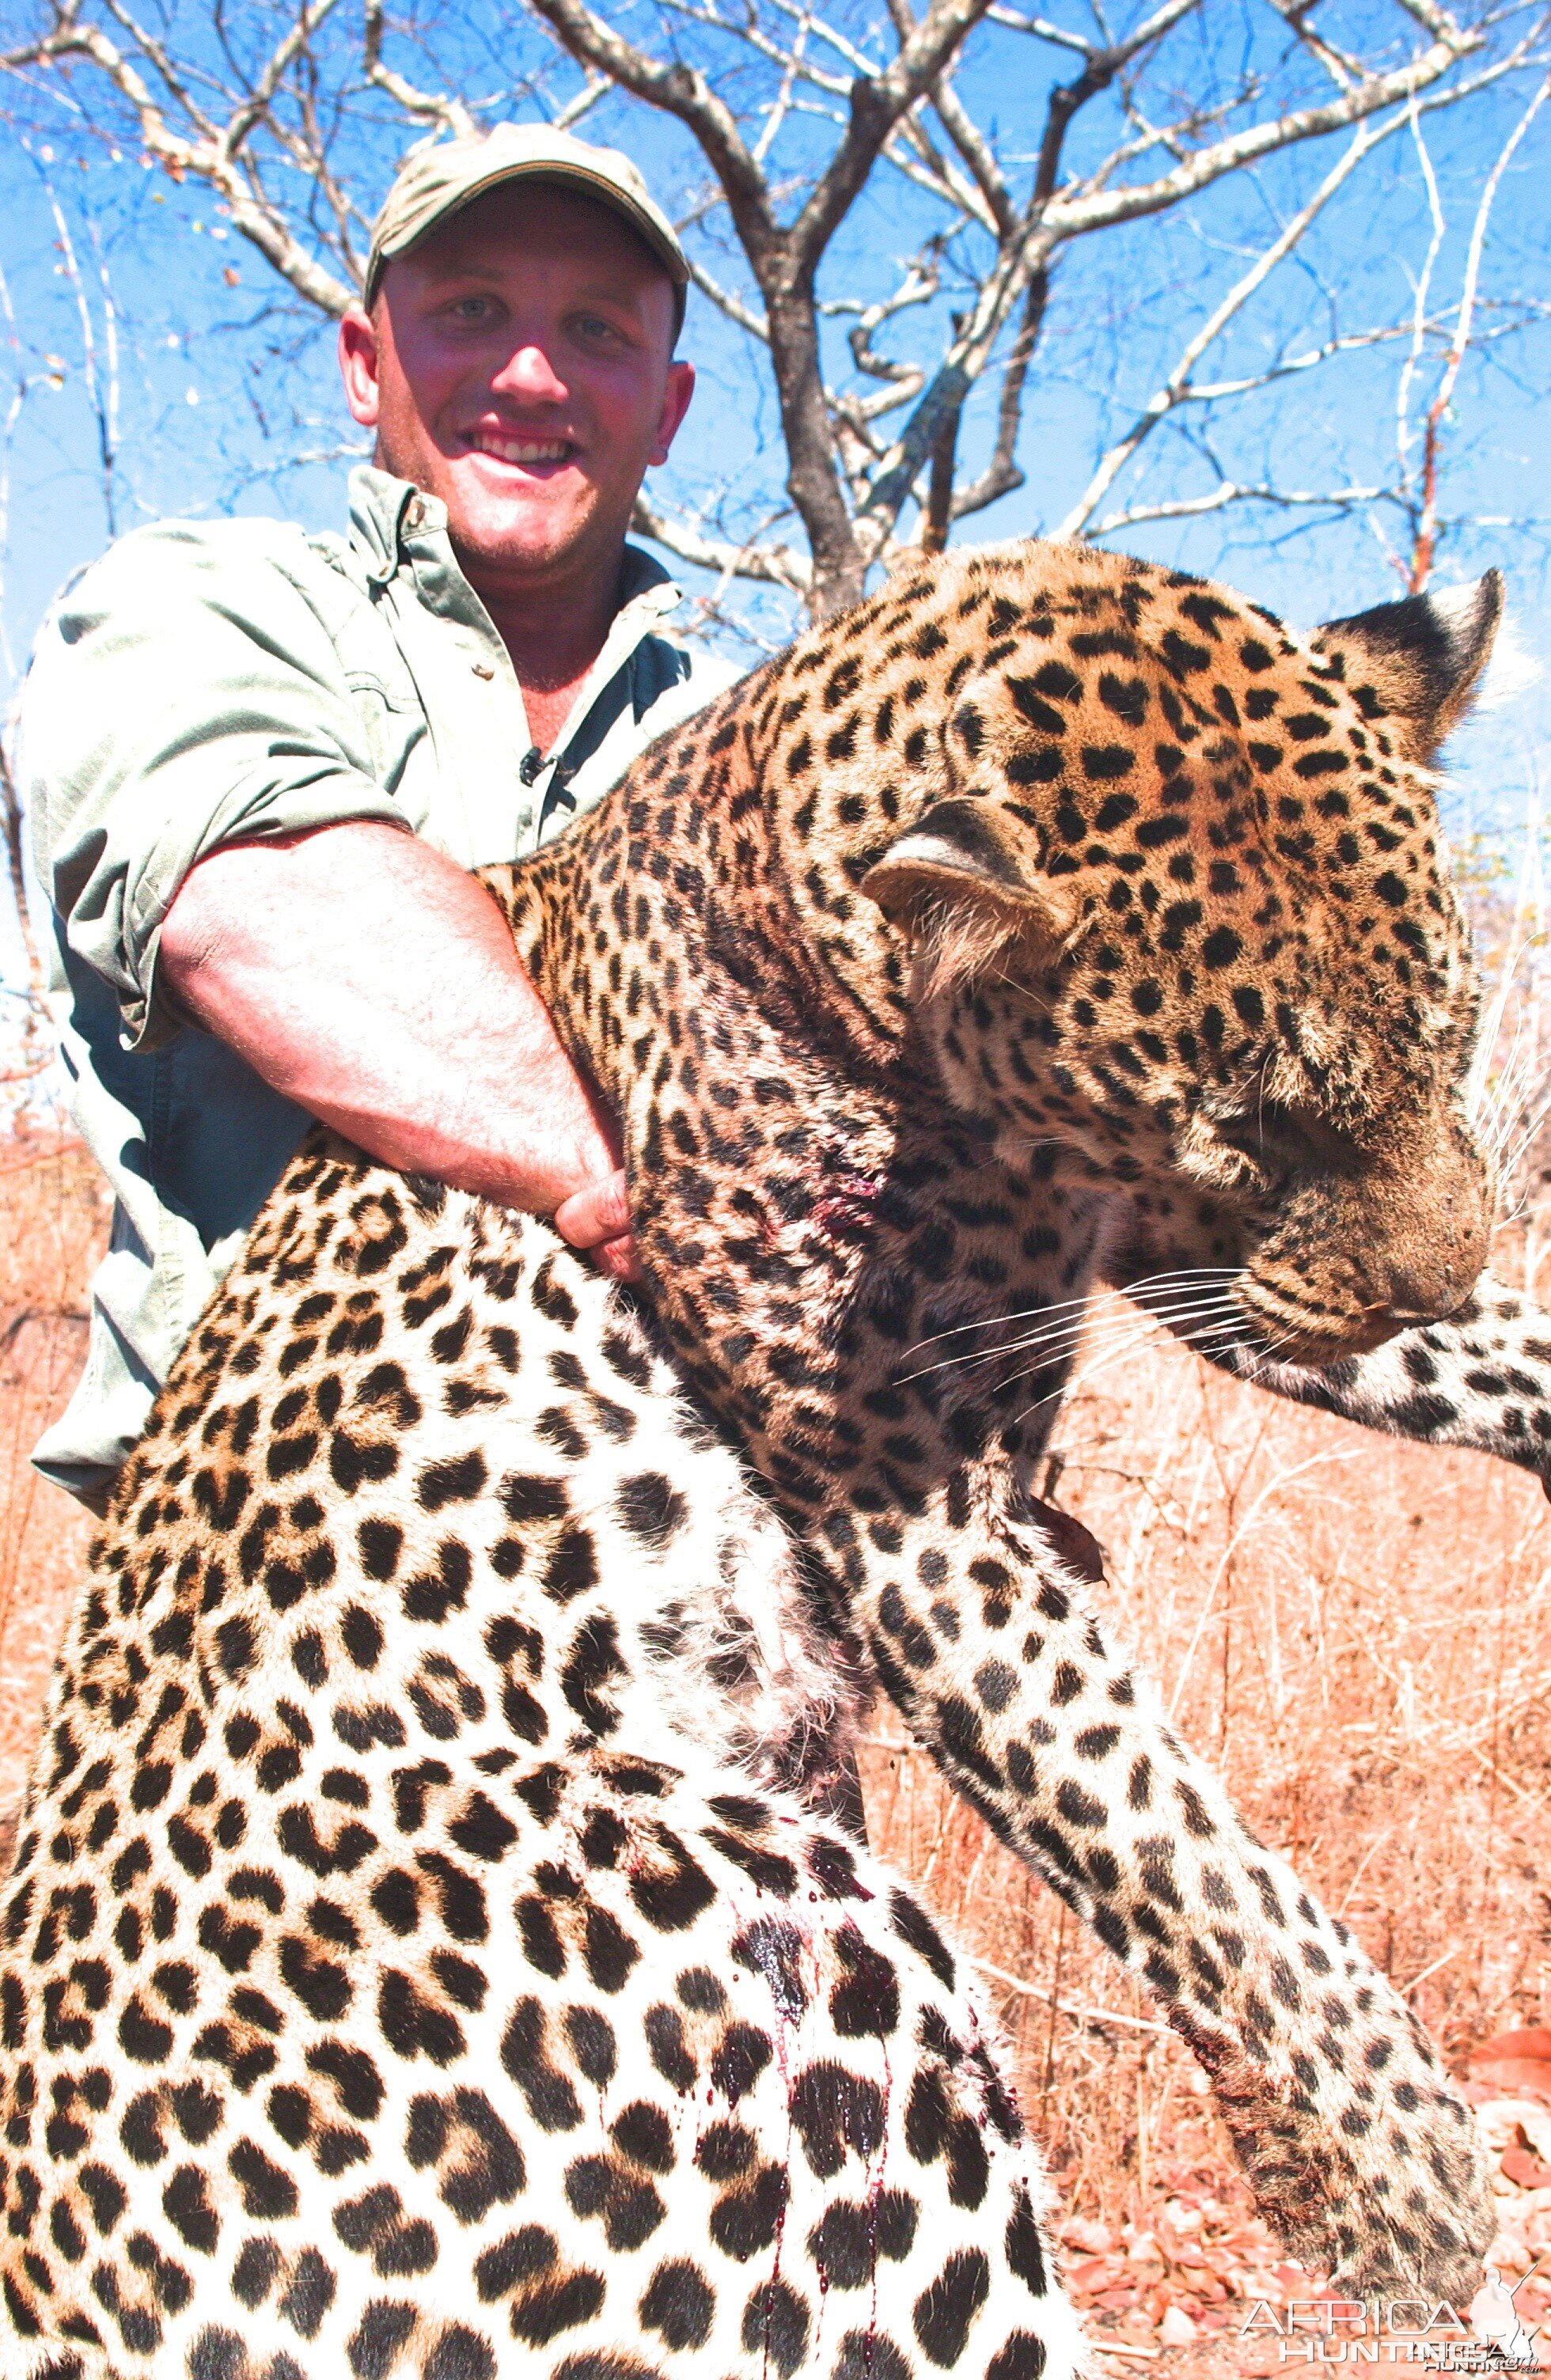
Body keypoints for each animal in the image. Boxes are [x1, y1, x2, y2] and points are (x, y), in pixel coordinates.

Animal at [2, 540, 1551, 2380]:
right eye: (1257, 1118)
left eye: (1448, 1034)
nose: (1438, 1271)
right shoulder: (922, 1503)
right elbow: (1167, 1840)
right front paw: (1405, 2190)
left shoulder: (1195, 1259)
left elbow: (1457, 1342)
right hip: (797, 1938)